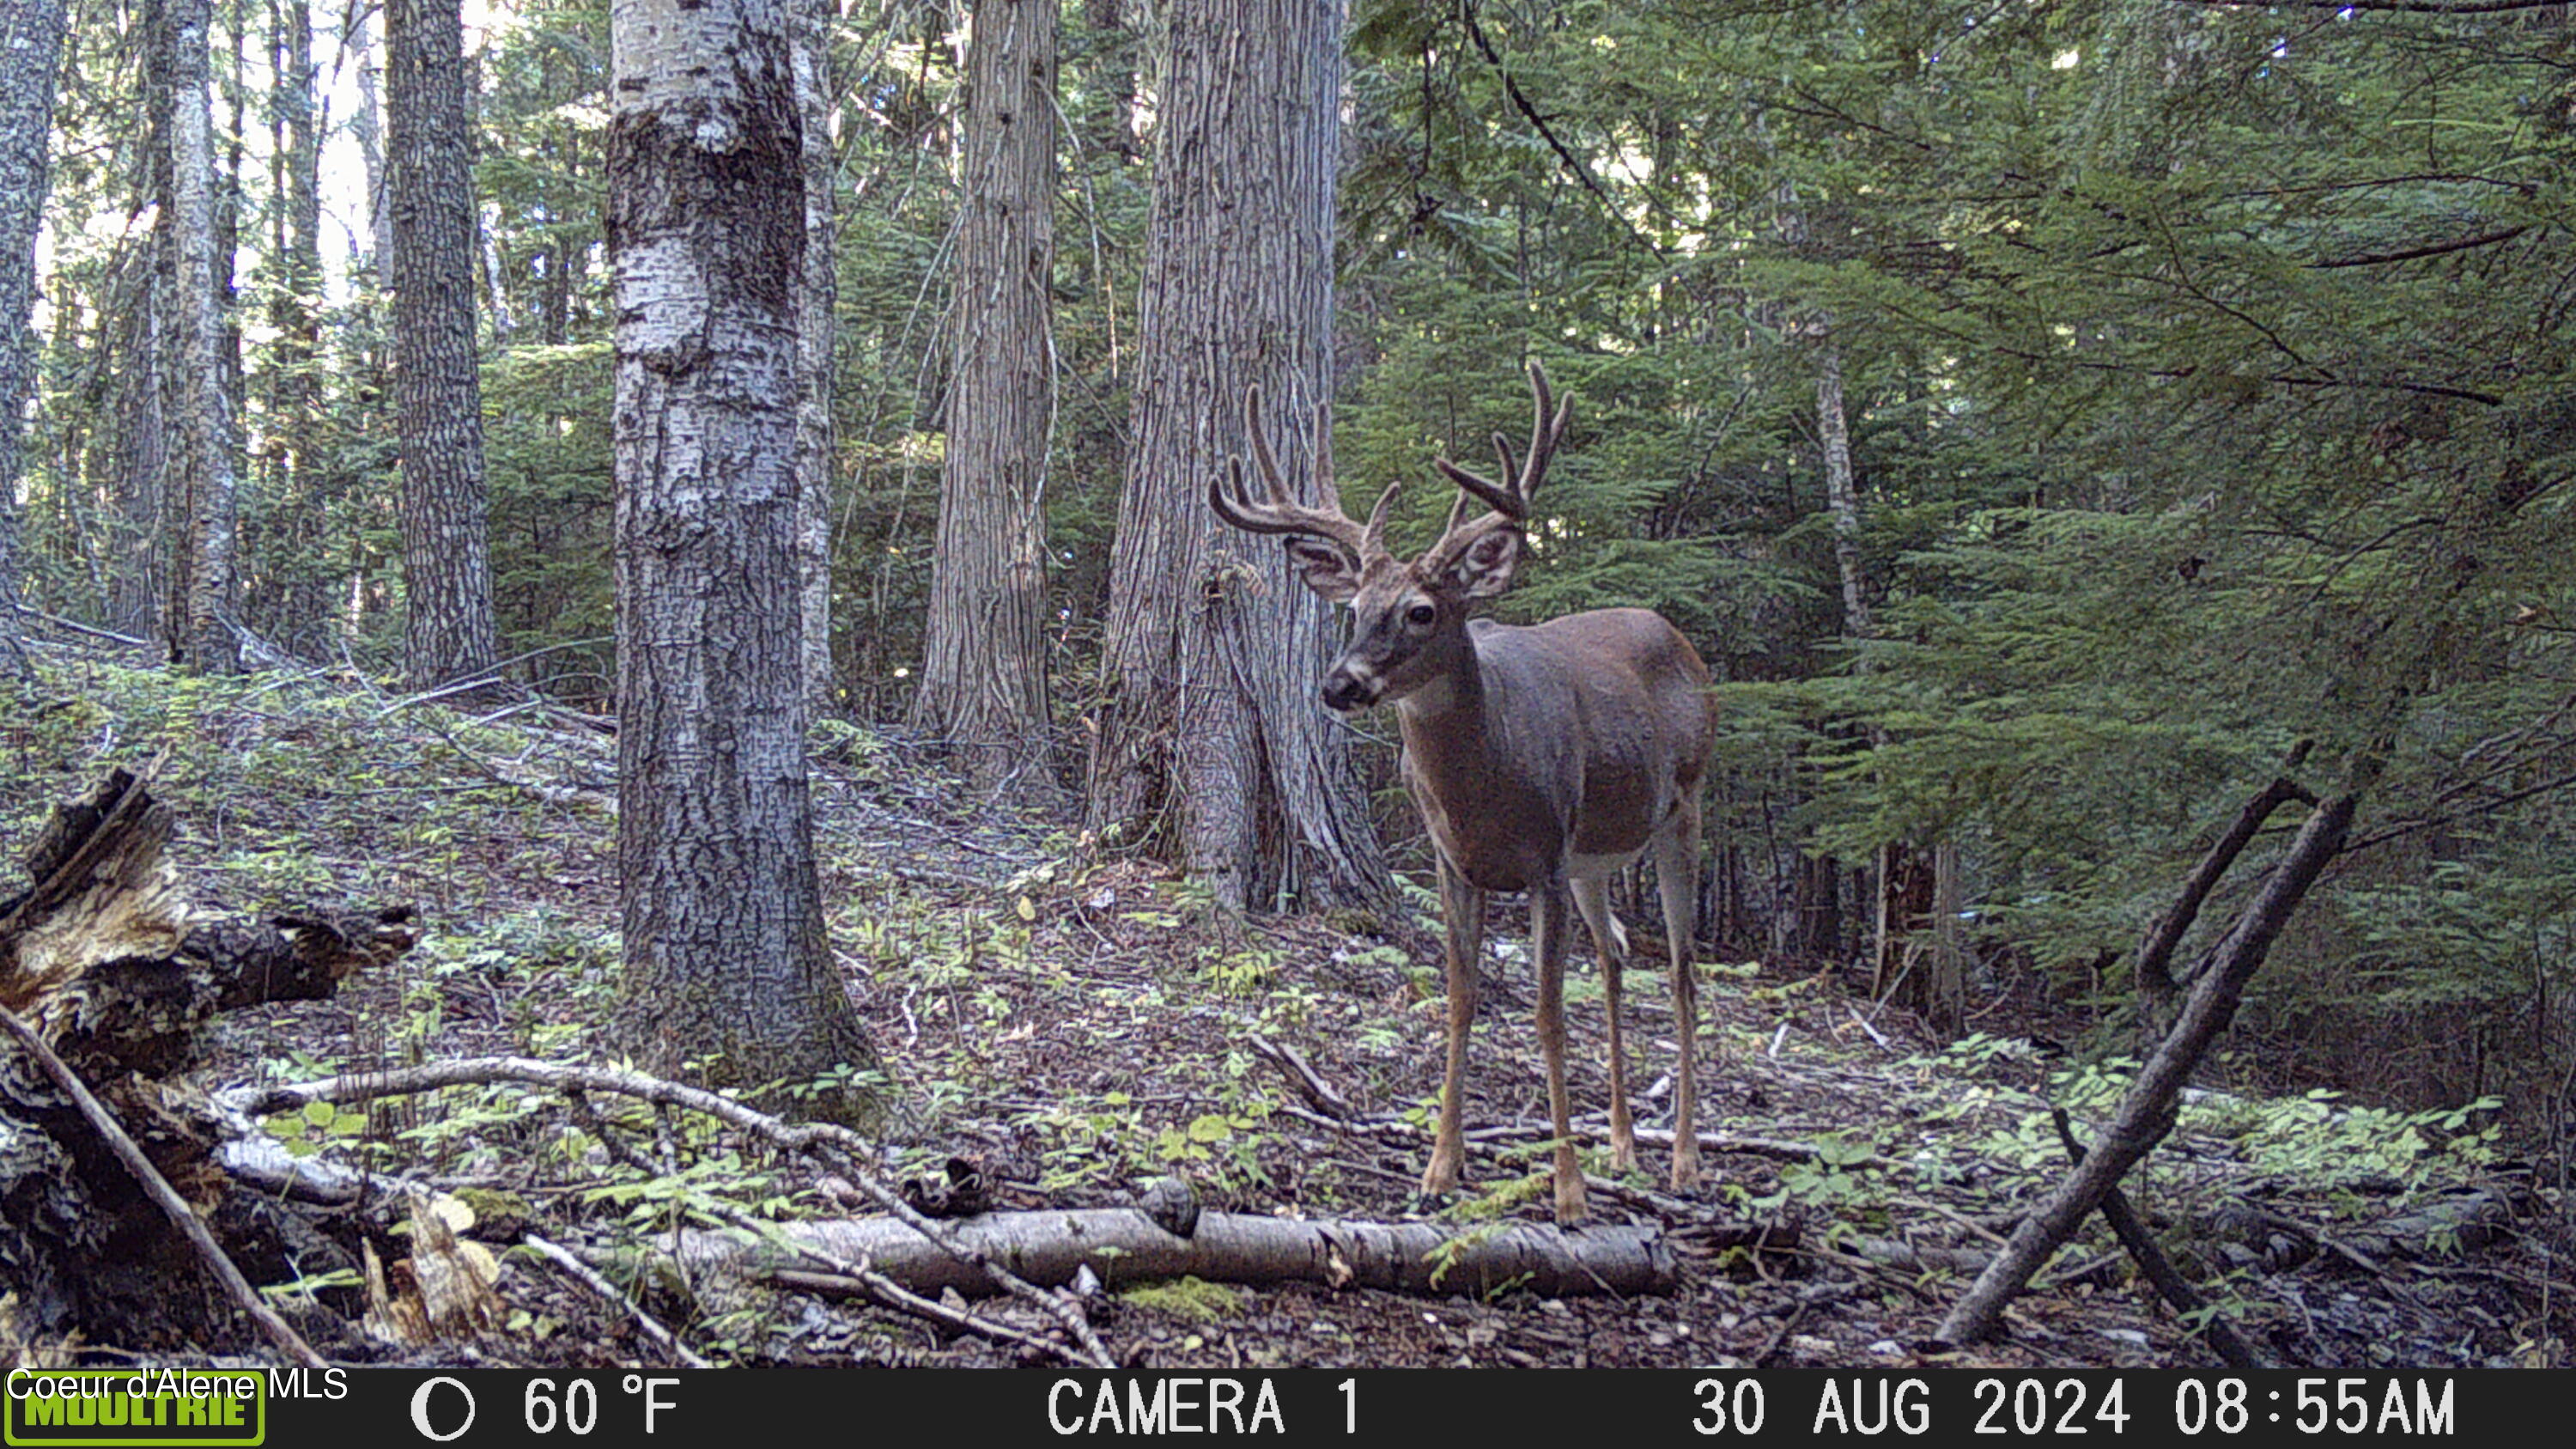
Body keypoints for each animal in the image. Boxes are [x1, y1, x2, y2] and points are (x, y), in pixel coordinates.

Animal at [1216, 361, 1721, 1216]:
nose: (1339, 683)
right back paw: (1624, 1145)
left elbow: (1547, 1016)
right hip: (1595, 858)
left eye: (1422, 610)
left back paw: (1683, 1159)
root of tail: (1679, 637)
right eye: (1356, 607)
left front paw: (1568, 1192)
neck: (1486, 783)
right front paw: (1439, 1168)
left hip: (1681, 807)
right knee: (1617, 957)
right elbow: (1460, 999)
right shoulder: (1456, 862)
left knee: (1683, 974)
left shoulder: (1544, 861)